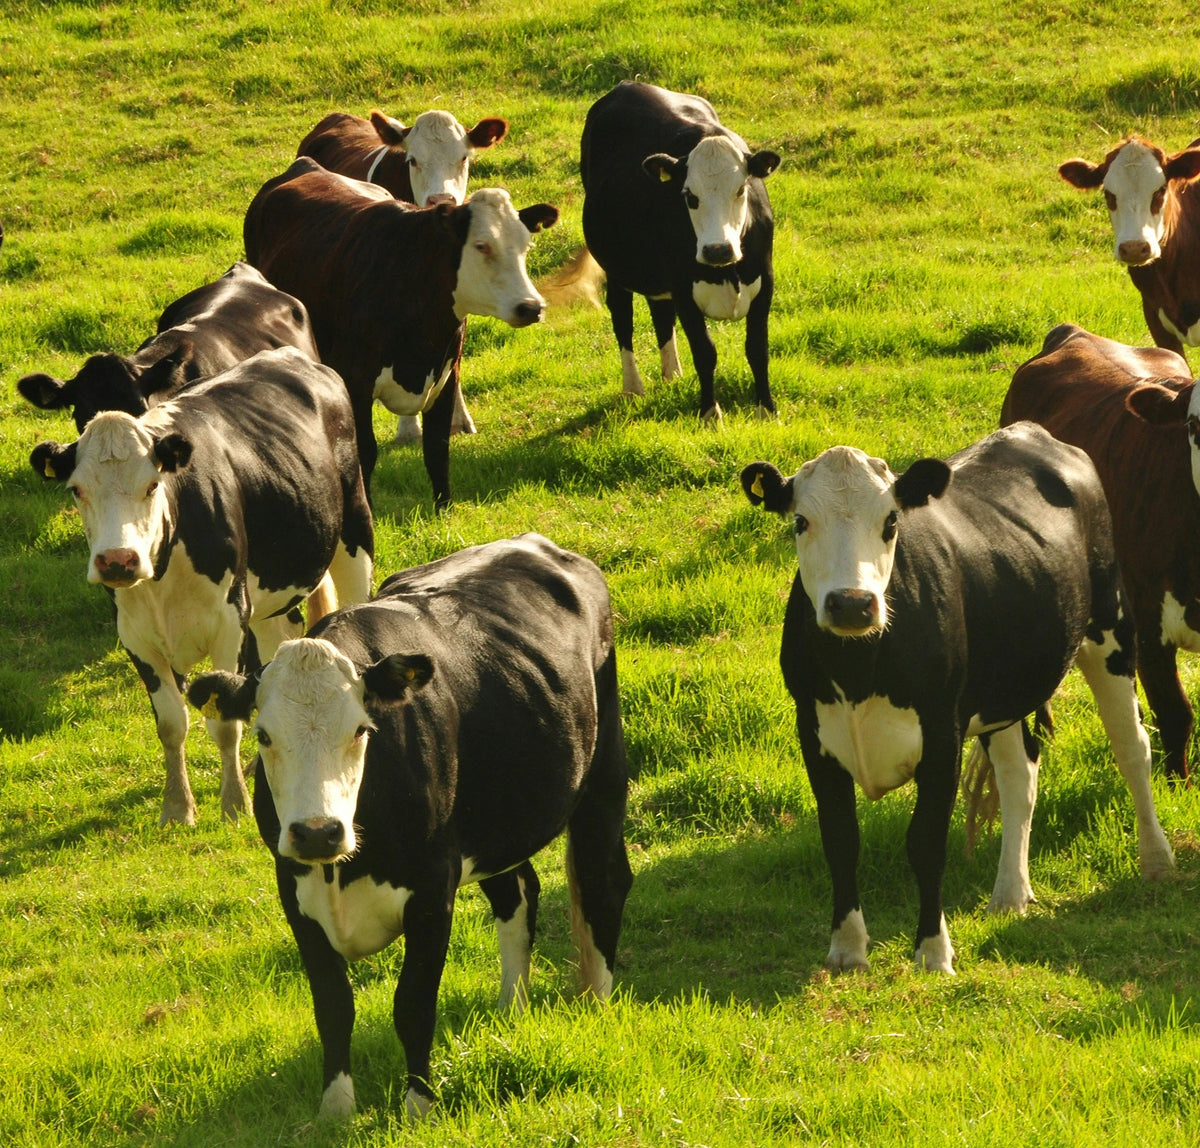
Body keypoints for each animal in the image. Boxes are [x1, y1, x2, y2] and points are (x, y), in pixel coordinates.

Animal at [31, 346, 374, 828]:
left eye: (152, 485)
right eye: (77, 490)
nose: (117, 560)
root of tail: (287, 355)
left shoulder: (229, 624)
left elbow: (224, 721)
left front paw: (235, 803)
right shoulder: (136, 636)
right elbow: (172, 723)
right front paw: (177, 807)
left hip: (354, 530)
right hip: (269, 598)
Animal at [186, 533, 632, 1121]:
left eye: (361, 729)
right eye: (263, 735)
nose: (318, 832)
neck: (343, 873)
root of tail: (535, 543)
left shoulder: (432, 890)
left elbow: (413, 1004)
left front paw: (419, 1105)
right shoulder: (294, 891)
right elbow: (333, 1007)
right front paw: (335, 1110)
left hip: (602, 775)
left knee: (603, 879)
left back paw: (597, 1002)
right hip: (494, 822)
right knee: (519, 893)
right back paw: (510, 1010)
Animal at [244, 157, 557, 508]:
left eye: (526, 245)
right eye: (481, 245)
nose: (530, 306)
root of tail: (305, 164)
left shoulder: (446, 375)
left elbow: (437, 450)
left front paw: (444, 510)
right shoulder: (355, 381)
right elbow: (365, 453)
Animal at [580, 81, 780, 423]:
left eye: (741, 189)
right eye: (689, 196)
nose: (718, 250)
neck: (726, 272)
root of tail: (628, 84)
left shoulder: (764, 281)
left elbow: (757, 348)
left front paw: (766, 408)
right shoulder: (684, 289)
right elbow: (705, 352)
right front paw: (710, 413)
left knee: (661, 312)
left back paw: (672, 374)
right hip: (615, 267)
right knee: (622, 318)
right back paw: (633, 388)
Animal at [741, 423, 1174, 975]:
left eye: (891, 520)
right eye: (800, 521)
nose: (853, 604)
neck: (859, 669)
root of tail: (1032, 432)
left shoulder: (941, 732)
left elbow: (925, 842)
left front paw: (933, 950)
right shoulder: (813, 733)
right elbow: (840, 839)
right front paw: (847, 949)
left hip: (1111, 627)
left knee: (1131, 747)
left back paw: (1156, 859)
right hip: (1002, 692)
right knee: (1019, 772)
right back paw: (1010, 894)